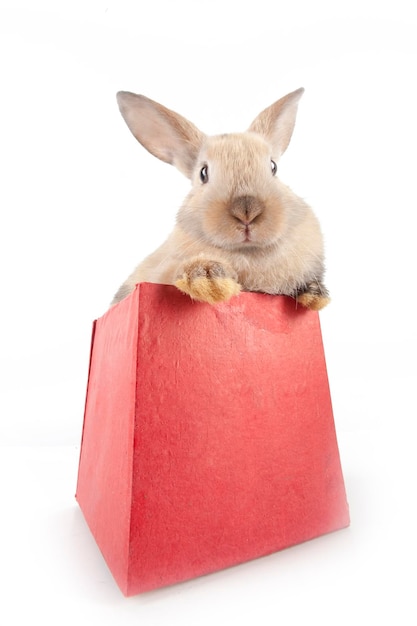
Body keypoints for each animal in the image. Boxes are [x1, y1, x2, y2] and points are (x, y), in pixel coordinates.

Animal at [110, 86, 328, 310]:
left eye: (273, 167)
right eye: (203, 173)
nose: (247, 211)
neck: (246, 253)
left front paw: (313, 295)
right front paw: (210, 281)